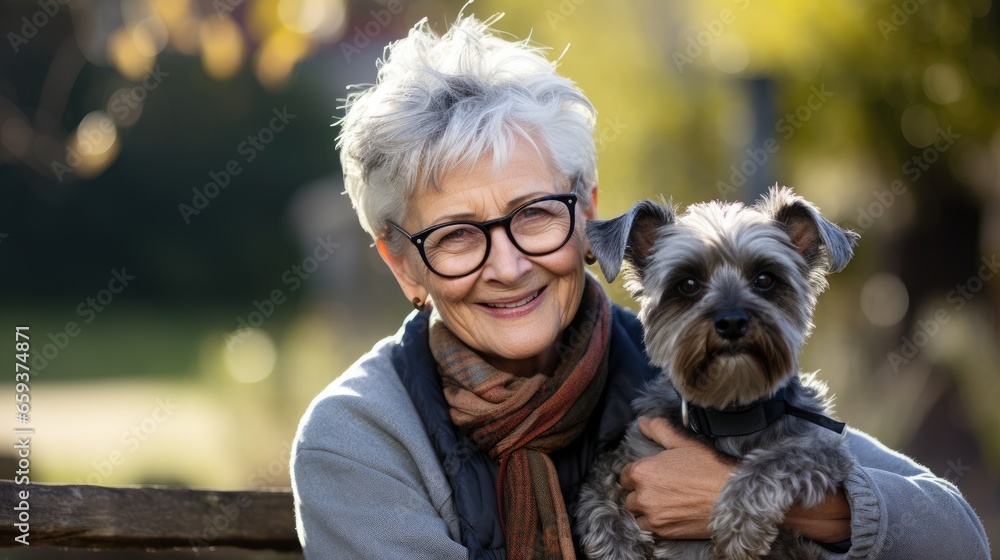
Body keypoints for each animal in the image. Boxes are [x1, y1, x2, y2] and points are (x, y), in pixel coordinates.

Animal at [580, 189, 860, 560]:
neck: (731, 410)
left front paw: (738, 524)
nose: (732, 321)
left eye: (765, 280)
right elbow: (599, 500)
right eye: (687, 284)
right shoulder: (628, 458)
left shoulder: (824, 448)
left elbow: (779, 458)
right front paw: (622, 546)